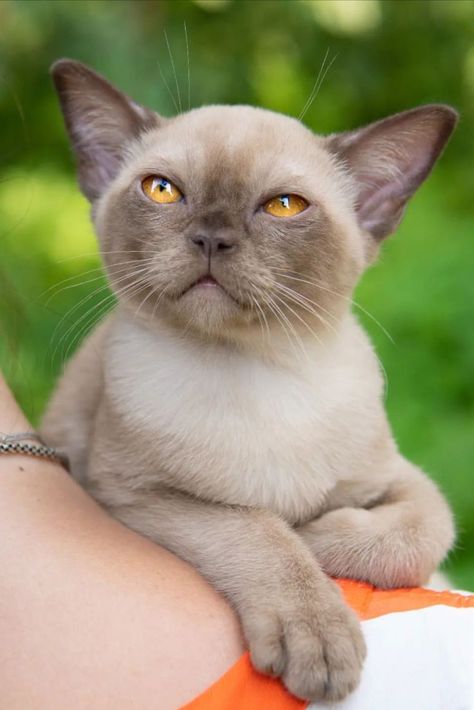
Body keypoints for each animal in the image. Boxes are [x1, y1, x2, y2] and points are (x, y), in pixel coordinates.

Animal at [42, 58, 458, 704]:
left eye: (284, 206)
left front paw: (320, 534)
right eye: (162, 190)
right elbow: (261, 530)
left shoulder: (396, 479)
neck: (255, 370)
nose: (212, 237)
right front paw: (318, 632)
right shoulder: (136, 496)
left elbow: (420, 535)